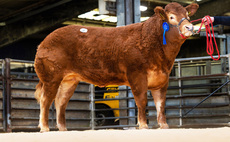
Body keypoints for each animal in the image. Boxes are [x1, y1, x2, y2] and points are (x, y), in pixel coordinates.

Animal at [34, 2, 199, 132]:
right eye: (171, 17)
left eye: (187, 15)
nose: (190, 27)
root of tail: (44, 42)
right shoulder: (137, 74)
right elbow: (142, 100)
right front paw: (143, 125)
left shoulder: (162, 79)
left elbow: (160, 104)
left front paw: (164, 125)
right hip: (51, 77)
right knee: (45, 99)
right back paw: (45, 127)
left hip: (69, 80)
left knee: (60, 101)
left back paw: (63, 128)